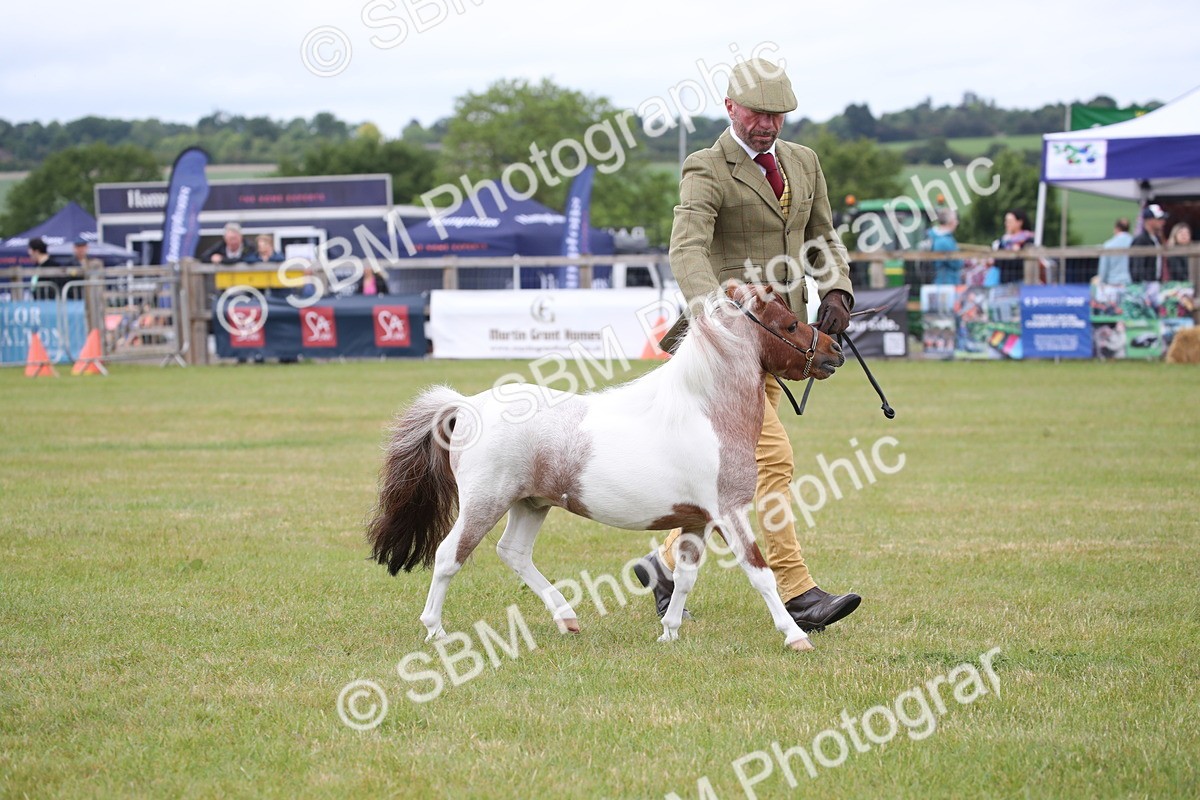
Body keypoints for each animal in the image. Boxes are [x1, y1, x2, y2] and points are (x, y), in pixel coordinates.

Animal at [367, 283, 846, 652]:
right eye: (789, 324)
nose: (835, 350)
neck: (705, 411)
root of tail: (467, 406)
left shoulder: (697, 521)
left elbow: (685, 577)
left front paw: (669, 633)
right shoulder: (729, 513)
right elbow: (760, 573)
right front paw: (796, 636)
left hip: (531, 503)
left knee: (514, 553)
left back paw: (567, 618)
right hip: (485, 502)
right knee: (449, 557)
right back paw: (436, 631)